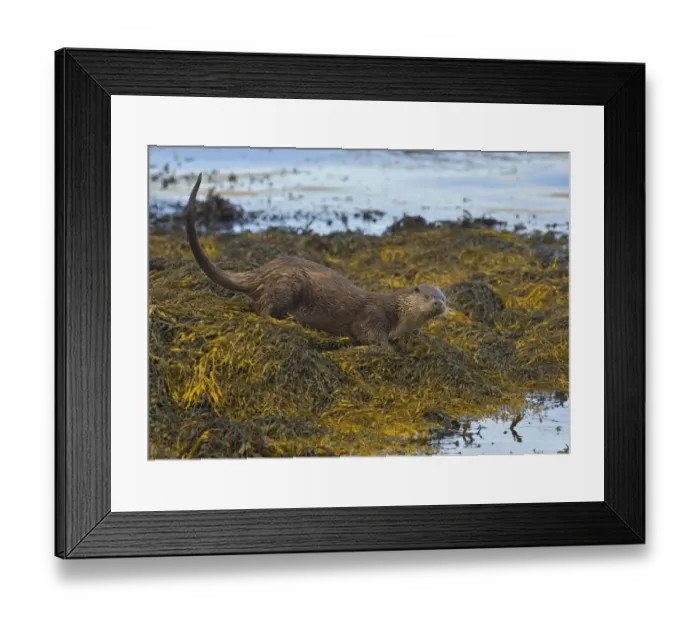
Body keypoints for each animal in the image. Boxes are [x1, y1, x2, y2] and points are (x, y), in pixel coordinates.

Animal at [185, 173, 447, 346]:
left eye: (443, 297)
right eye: (427, 296)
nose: (439, 304)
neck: (398, 314)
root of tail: (264, 271)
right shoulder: (373, 316)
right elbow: (369, 336)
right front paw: (388, 348)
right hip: (287, 284)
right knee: (262, 307)